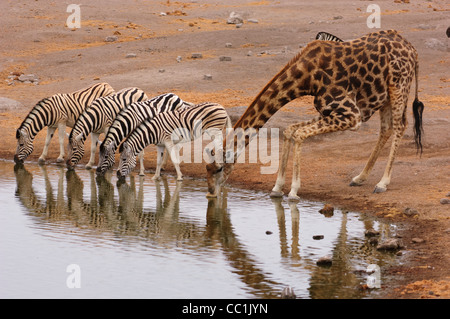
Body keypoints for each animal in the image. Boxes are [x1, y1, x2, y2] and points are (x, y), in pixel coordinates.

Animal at [206, 30, 424, 200]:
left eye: (218, 169)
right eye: (206, 169)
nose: (211, 193)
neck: (306, 77)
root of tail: (413, 50)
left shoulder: (351, 115)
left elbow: (299, 134)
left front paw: (293, 191)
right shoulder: (329, 111)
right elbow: (290, 131)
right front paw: (277, 188)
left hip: (399, 86)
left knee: (400, 125)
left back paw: (382, 183)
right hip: (384, 96)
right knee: (386, 128)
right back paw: (360, 178)